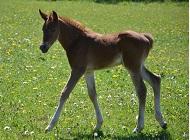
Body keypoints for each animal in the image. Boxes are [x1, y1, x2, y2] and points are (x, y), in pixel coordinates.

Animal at [38, 9, 166, 133]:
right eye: (43, 29)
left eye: (53, 29)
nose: (43, 47)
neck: (77, 41)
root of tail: (146, 37)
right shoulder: (88, 71)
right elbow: (92, 94)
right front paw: (98, 125)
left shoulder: (77, 70)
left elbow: (65, 93)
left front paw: (50, 126)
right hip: (138, 67)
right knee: (155, 79)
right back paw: (162, 122)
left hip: (133, 67)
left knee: (142, 91)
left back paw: (139, 127)